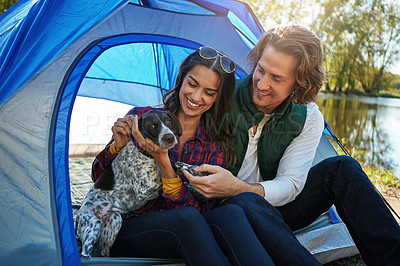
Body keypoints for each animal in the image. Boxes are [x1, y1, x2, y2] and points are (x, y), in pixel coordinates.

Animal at [74, 108, 182, 258]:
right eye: (152, 125)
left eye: (168, 121)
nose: (169, 137)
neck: (147, 155)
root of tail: (77, 218)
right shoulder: (143, 191)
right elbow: (165, 183)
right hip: (92, 224)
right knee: (85, 252)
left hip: (115, 220)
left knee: (104, 251)